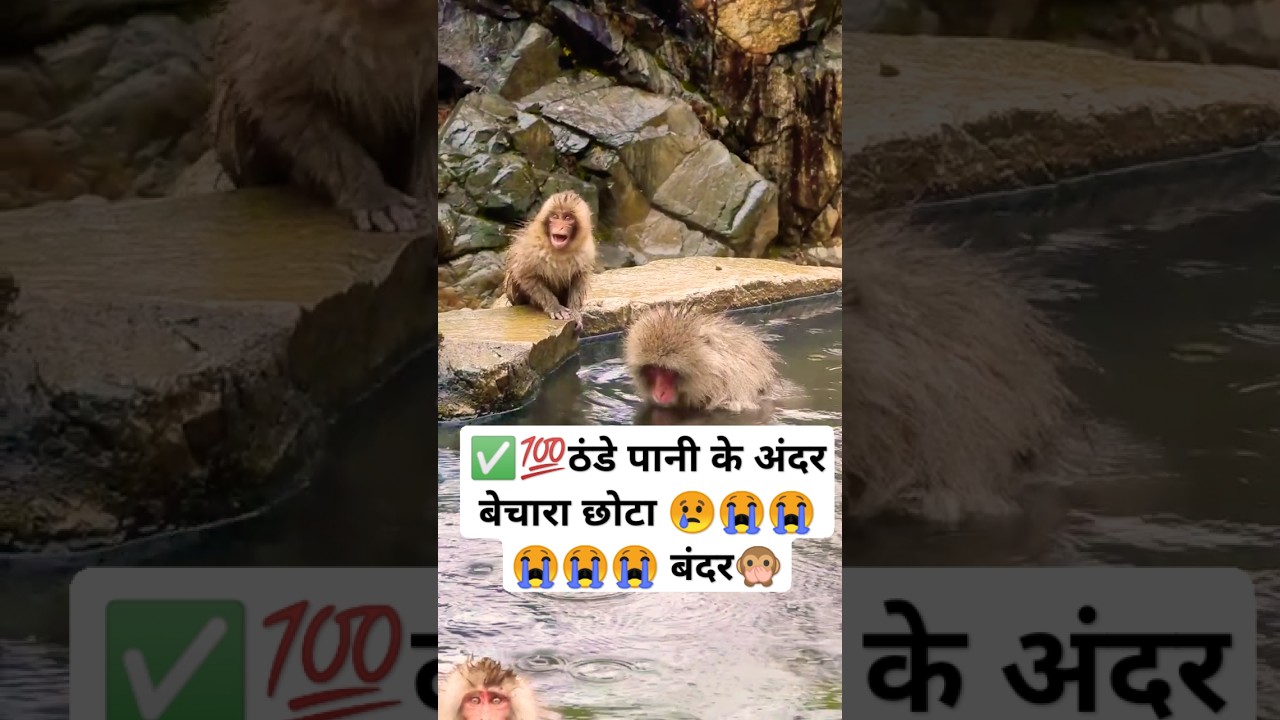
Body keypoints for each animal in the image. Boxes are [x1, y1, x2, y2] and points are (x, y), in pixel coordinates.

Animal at [502, 191, 597, 330]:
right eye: (555, 216)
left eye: (568, 218)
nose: (560, 227)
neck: (560, 251)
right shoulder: (531, 246)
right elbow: (525, 275)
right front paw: (555, 307)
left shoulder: (586, 251)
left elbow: (579, 278)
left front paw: (574, 311)